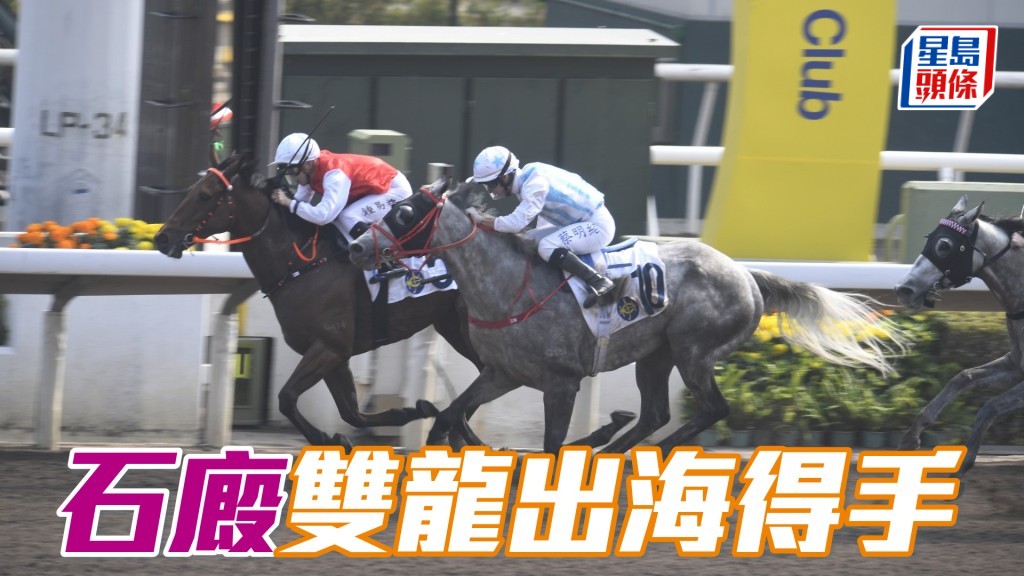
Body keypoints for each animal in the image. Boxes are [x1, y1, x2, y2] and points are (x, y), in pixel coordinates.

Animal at [153, 153, 485, 448]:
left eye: (205, 196)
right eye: (191, 191)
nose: (162, 238)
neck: (302, 265)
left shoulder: (329, 347)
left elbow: (287, 398)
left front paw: (326, 437)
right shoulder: (335, 355)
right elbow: (351, 412)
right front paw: (402, 414)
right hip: (452, 326)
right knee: (483, 376)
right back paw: (455, 431)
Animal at [348, 180, 908, 454]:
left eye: (401, 213)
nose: (355, 246)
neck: (509, 288)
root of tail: (747, 275)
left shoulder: (561, 382)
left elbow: (549, 444)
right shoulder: (503, 373)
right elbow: (451, 413)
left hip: (693, 351)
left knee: (712, 409)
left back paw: (643, 453)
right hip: (654, 357)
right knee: (656, 413)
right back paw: (614, 453)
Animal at [894, 195, 1024, 474]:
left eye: (944, 245)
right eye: (928, 237)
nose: (903, 289)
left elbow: (989, 406)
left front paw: (965, 462)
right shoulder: (1015, 364)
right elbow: (962, 377)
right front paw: (911, 437)